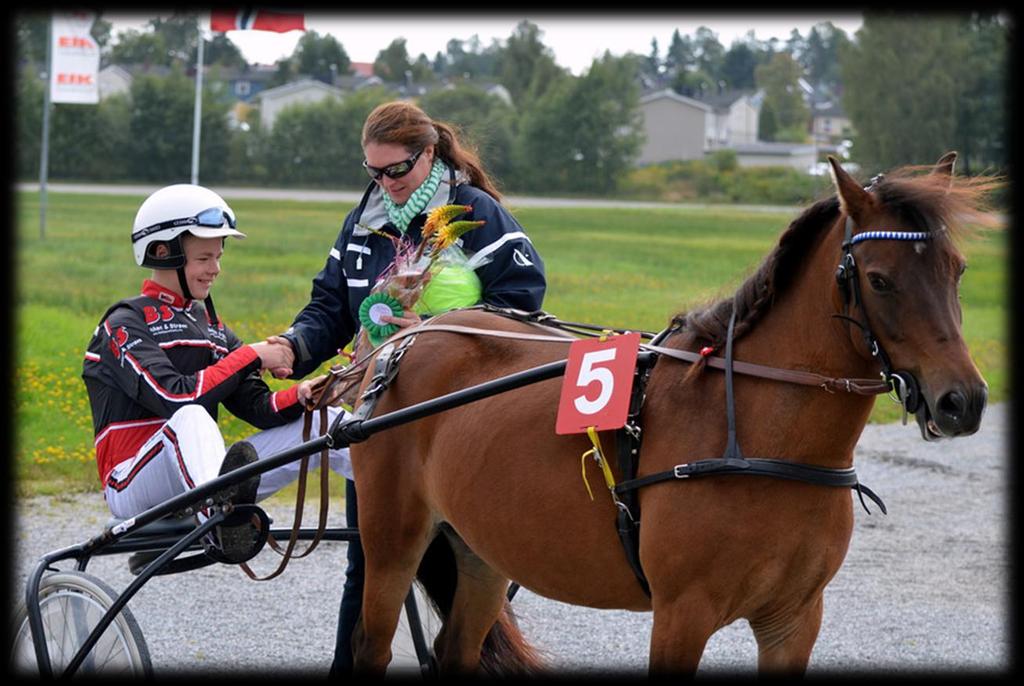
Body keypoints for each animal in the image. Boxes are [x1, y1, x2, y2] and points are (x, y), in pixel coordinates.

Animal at [348, 153, 995, 675]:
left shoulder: (794, 618)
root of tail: (406, 338)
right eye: (880, 280)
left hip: (480, 550)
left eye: (957, 269)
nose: (962, 399)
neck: (757, 437)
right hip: (392, 539)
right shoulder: (683, 613)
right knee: (371, 643)